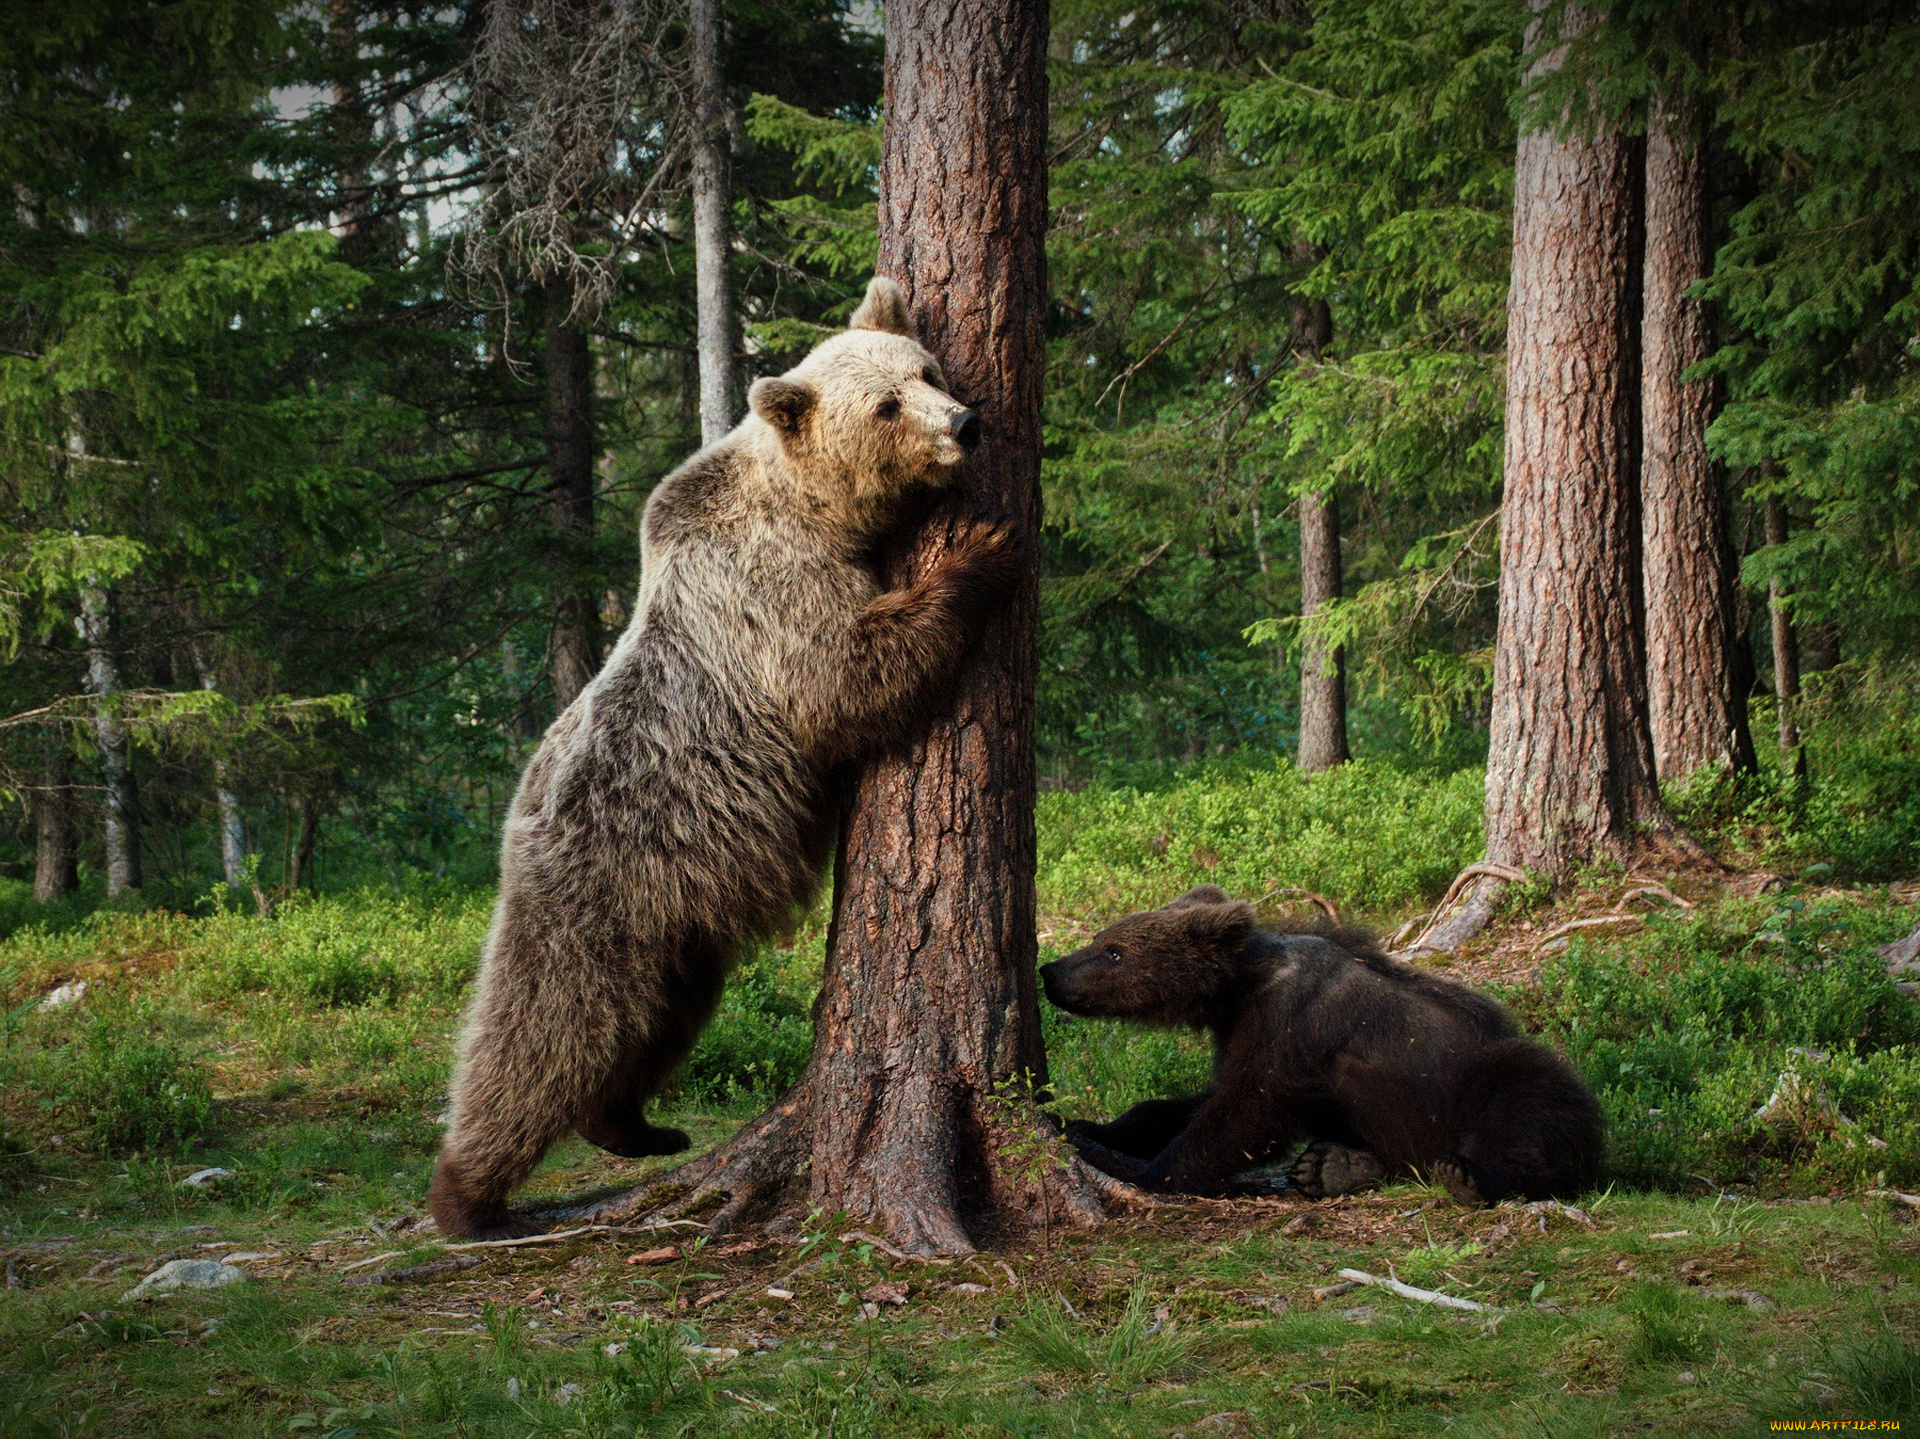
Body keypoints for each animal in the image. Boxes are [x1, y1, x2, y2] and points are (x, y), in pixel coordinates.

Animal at [428, 278, 1013, 1237]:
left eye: (924, 369)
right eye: (887, 406)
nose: (963, 423)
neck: (815, 509)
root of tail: (514, 821)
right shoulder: (766, 589)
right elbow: (842, 677)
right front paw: (980, 554)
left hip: (681, 915)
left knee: (660, 1018)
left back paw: (635, 1125)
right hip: (595, 889)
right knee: (543, 1027)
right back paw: (466, 1194)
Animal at [1044, 887, 1597, 1198]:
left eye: (1115, 952)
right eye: (1100, 938)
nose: (1050, 971)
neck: (1241, 989)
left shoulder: (1292, 1026)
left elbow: (1244, 1113)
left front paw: (1150, 1171)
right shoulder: (1241, 1035)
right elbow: (1187, 1102)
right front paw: (1087, 1125)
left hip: (1478, 1075)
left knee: (1528, 1105)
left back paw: (1469, 1176)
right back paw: (1335, 1167)